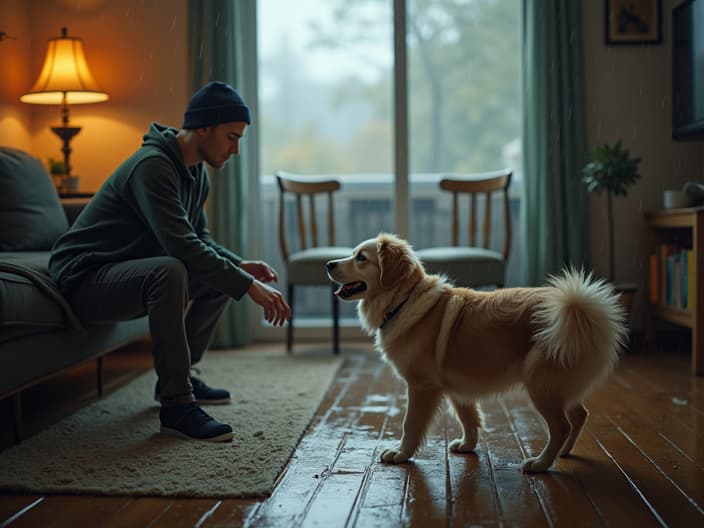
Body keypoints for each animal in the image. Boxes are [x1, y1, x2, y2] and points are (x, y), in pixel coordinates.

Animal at [324, 233, 628, 472]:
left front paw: (400, 454)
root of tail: (580, 309)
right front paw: (467, 446)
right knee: (579, 415)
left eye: (361, 258)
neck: (403, 300)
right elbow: (469, 419)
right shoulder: (456, 388)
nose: (328, 264)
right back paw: (563, 452)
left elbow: (410, 425)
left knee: (562, 426)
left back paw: (541, 463)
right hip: (558, 385)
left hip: (539, 382)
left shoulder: (422, 386)